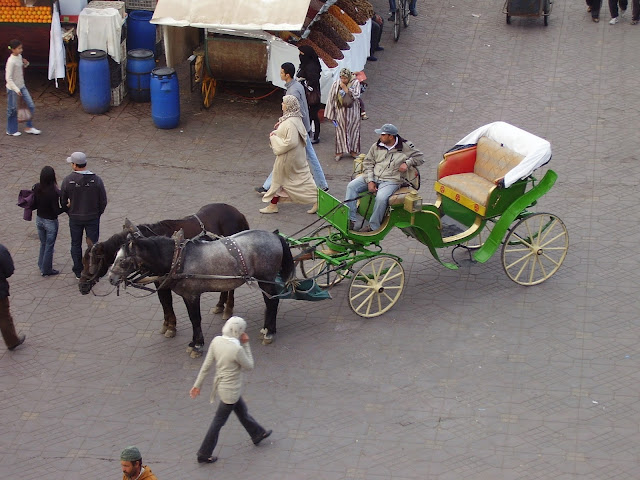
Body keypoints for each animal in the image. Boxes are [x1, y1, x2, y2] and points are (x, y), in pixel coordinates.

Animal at [78, 204, 250, 339]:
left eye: (93, 262)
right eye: (83, 261)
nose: (82, 286)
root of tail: (238, 213)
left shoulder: (164, 280)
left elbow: (166, 301)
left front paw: (171, 327)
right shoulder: (158, 281)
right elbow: (163, 302)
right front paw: (167, 324)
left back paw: (228, 308)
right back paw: (220, 304)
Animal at [107, 229, 295, 356]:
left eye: (122, 261)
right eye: (115, 257)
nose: (110, 278)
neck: (178, 259)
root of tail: (274, 236)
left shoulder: (192, 295)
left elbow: (195, 319)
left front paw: (197, 345)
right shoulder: (186, 295)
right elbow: (193, 319)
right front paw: (194, 342)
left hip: (266, 278)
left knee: (272, 302)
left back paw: (269, 332)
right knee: (270, 302)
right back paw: (267, 328)